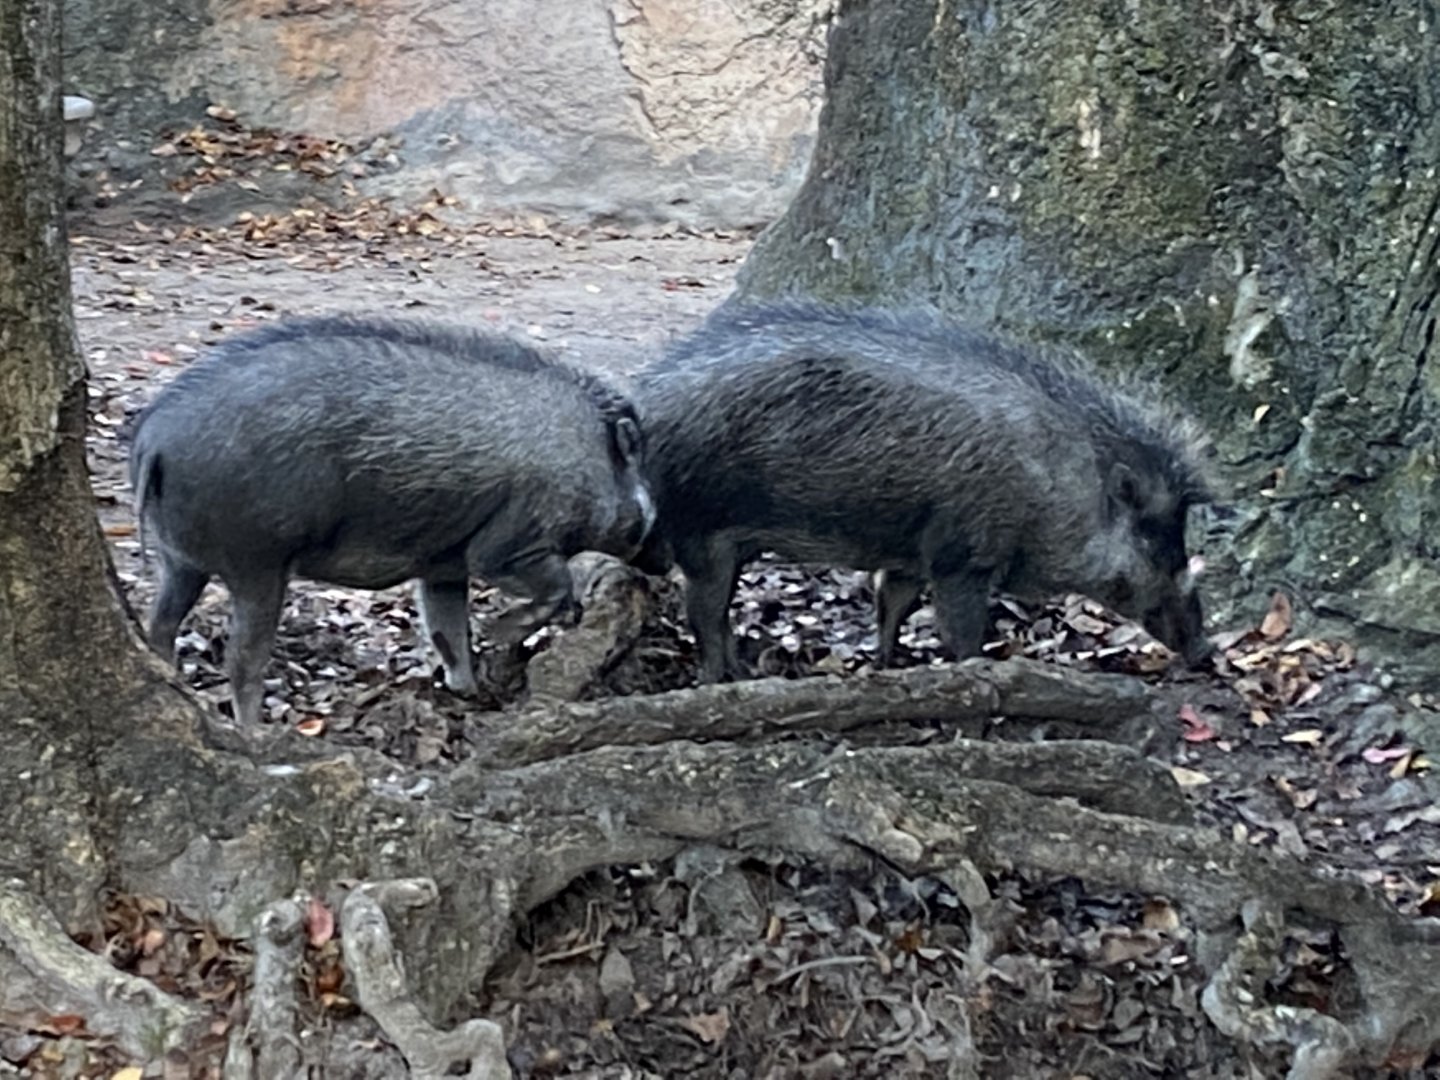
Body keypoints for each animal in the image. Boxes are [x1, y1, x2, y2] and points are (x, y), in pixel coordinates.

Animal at [129, 314, 655, 725]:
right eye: (638, 471)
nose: (659, 561)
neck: (590, 456)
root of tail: (153, 439)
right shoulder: (510, 543)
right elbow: (552, 587)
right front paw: (498, 633)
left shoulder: (444, 566)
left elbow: (448, 630)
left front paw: (469, 692)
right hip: (257, 562)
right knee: (242, 658)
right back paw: (256, 734)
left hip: (180, 560)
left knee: (160, 627)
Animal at [632, 301, 1213, 681]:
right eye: (1151, 535)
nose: (1205, 654)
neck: (1053, 483)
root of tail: (643, 398)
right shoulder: (963, 556)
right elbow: (960, 629)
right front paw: (969, 669)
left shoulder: (912, 553)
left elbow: (892, 604)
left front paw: (886, 665)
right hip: (702, 531)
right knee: (704, 612)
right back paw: (725, 678)